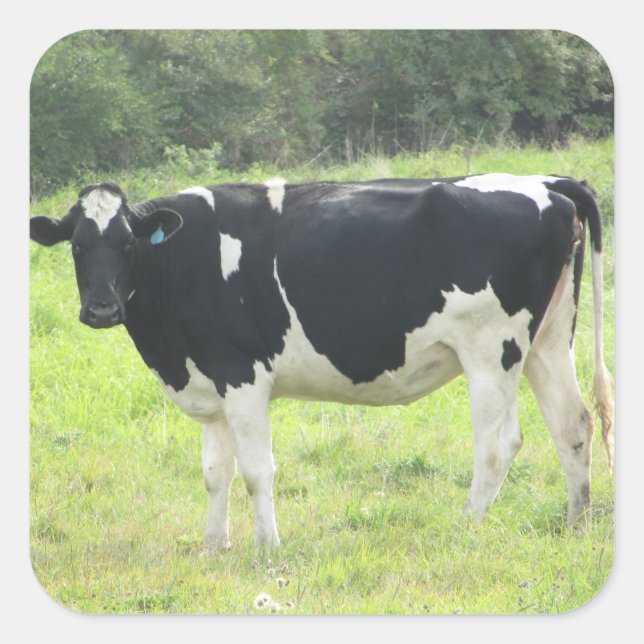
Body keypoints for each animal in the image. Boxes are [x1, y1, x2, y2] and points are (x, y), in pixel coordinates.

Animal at [29, 173, 614, 550]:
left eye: (128, 245)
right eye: (77, 246)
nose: (102, 308)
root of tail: (549, 183)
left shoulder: (242, 377)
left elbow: (256, 471)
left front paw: (267, 548)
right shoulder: (209, 382)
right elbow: (215, 473)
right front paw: (214, 546)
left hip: (493, 348)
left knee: (498, 444)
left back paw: (465, 529)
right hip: (549, 340)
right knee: (573, 425)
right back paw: (577, 525)